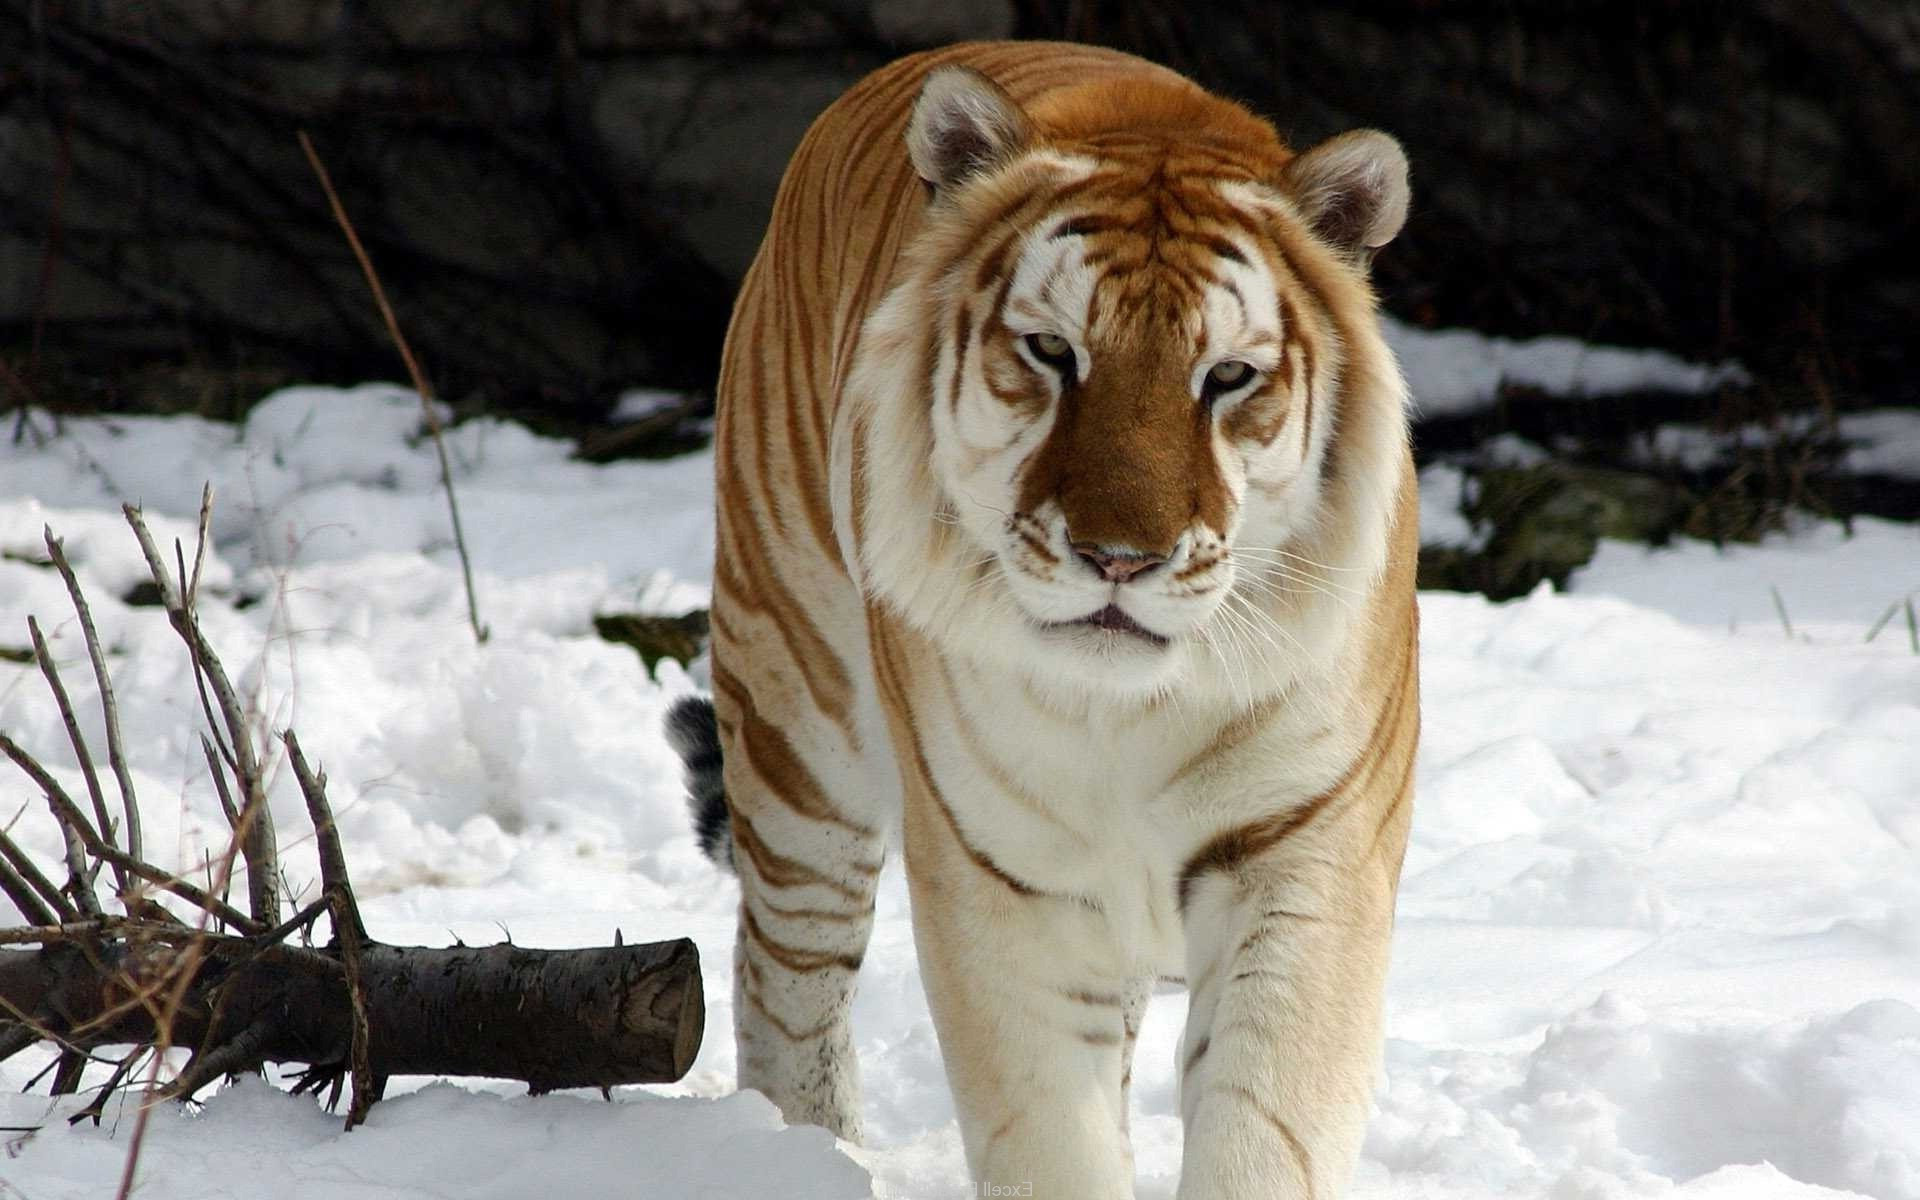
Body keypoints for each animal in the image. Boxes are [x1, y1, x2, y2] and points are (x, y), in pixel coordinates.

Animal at [668, 37, 1420, 1198]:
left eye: (1228, 376)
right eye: (1054, 353)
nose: (1119, 558)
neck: (1132, 710)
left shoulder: (1305, 856)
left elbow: (1262, 1125)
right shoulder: (1002, 879)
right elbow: (1049, 1133)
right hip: (796, 719)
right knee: (783, 976)